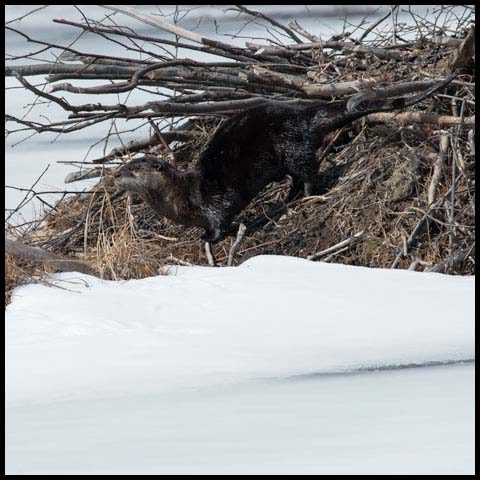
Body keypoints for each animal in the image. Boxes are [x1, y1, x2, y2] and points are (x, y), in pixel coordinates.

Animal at [114, 76, 456, 244]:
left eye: (132, 168)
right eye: (122, 166)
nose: (115, 175)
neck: (183, 196)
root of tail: (304, 116)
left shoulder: (213, 200)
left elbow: (221, 216)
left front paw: (208, 238)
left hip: (292, 147)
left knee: (309, 171)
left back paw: (304, 197)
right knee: (298, 175)